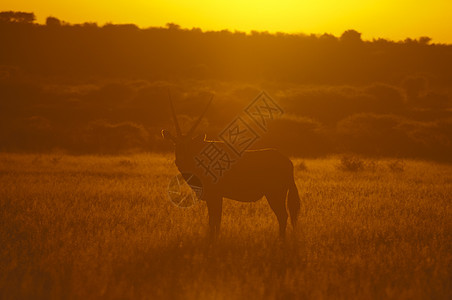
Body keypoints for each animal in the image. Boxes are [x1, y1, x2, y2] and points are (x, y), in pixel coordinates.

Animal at [162, 92, 300, 240]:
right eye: (175, 144)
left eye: (189, 145)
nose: (180, 161)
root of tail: (288, 162)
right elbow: (215, 220)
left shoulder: (215, 196)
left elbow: (214, 220)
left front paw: (213, 240)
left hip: (275, 194)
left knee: (283, 216)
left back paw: (281, 241)